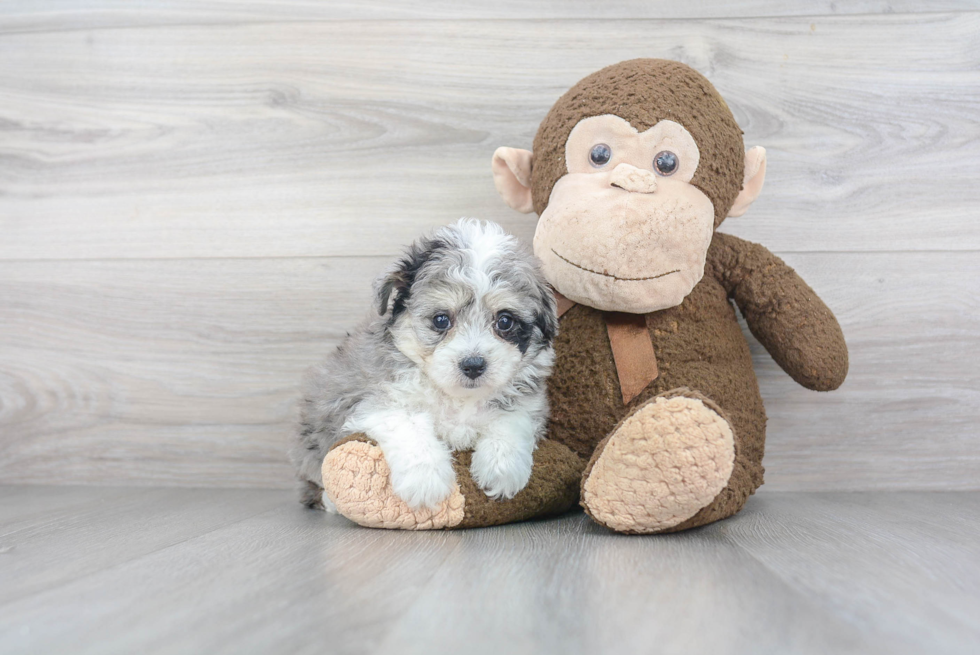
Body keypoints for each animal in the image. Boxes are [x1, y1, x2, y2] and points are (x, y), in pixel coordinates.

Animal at [290, 220, 560, 512]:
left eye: (505, 321)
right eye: (441, 320)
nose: (473, 365)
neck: (457, 397)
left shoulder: (529, 401)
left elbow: (512, 419)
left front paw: (502, 467)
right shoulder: (373, 402)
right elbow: (409, 426)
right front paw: (426, 480)